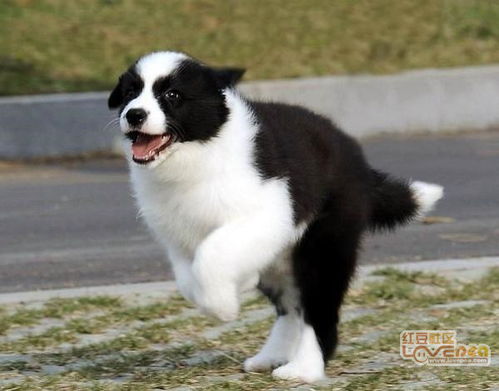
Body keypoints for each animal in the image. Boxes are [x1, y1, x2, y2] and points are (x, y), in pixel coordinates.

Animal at [107, 51, 444, 382]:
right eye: (130, 93)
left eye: (172, 95)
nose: (134, 115)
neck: (202, 150)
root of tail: (360, 165)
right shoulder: (177, 235)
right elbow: (188, 278)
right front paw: (234, 288)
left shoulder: (267, 212)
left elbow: (212, 253)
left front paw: (224, 307)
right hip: (285, 260)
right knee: (291, 306)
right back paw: (271, 356)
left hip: (325, 241)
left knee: (317, 308)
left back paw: (303, 368)